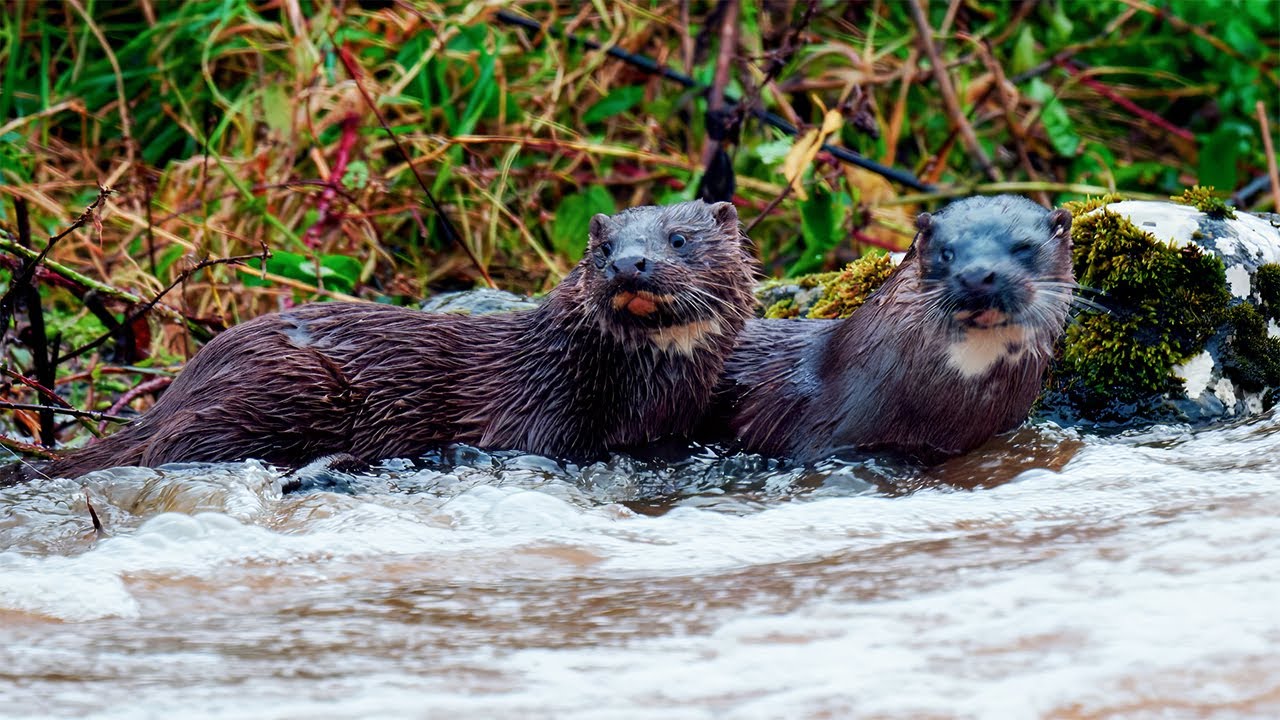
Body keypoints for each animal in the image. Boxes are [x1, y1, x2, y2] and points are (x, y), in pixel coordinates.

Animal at [42, 200, 758, 478]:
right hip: (289, 382)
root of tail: (186, 377)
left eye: (679, 239)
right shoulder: (535, 418)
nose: (629, 264)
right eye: (603, 248)